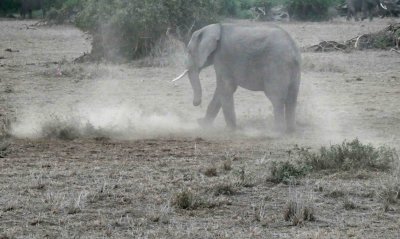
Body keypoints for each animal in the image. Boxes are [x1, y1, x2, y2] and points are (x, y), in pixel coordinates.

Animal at [172, 23, 300, 133]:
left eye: (189, 51)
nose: (196, 103)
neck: (215, 27)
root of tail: (292, 48)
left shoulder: (222, 56)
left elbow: (226, 87)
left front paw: (229, 130)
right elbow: (221, 90)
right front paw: (203, 125)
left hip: (276, 65)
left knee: (276, 98)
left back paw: (276, 132)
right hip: (294, 69)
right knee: (292, 98)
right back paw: (290, 131)